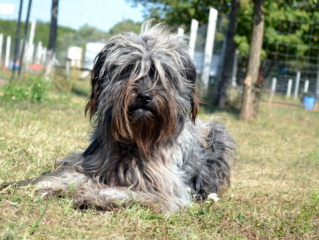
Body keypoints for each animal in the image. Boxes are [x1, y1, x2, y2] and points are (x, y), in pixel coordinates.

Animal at [5, 20, 236, 212]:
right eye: (128, 69)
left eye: (165, 74)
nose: (144, 96)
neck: (135, 141)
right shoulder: (91, 164)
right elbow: (67, 176)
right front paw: (37, 184)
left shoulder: (167, 191)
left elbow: (130, 193)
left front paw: (94, 195)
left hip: (218, 133)